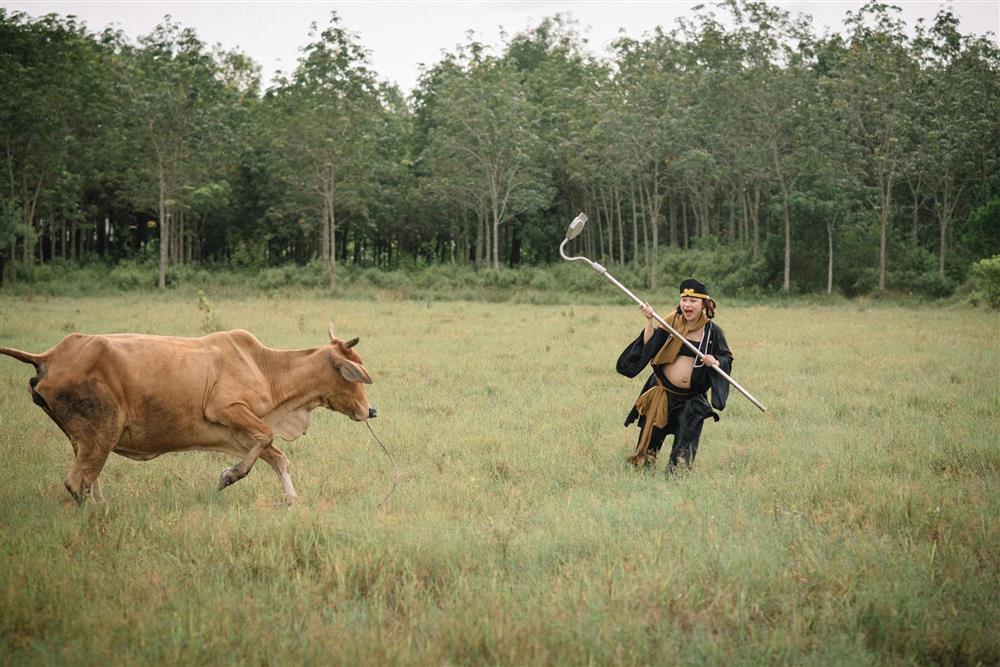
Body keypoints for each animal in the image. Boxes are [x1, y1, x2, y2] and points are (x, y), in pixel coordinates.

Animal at [0, 324, 376, 506]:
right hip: (103, 430)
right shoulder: (228, 409)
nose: (370, 409)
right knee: (77, 481)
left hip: (88, 437)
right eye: (354, 372)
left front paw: (292, 500)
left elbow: (277, 457)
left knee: (89, 478)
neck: (265, 367)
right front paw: (228, 476)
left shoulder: (238, 430)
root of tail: (49, 357)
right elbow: (267, 440)